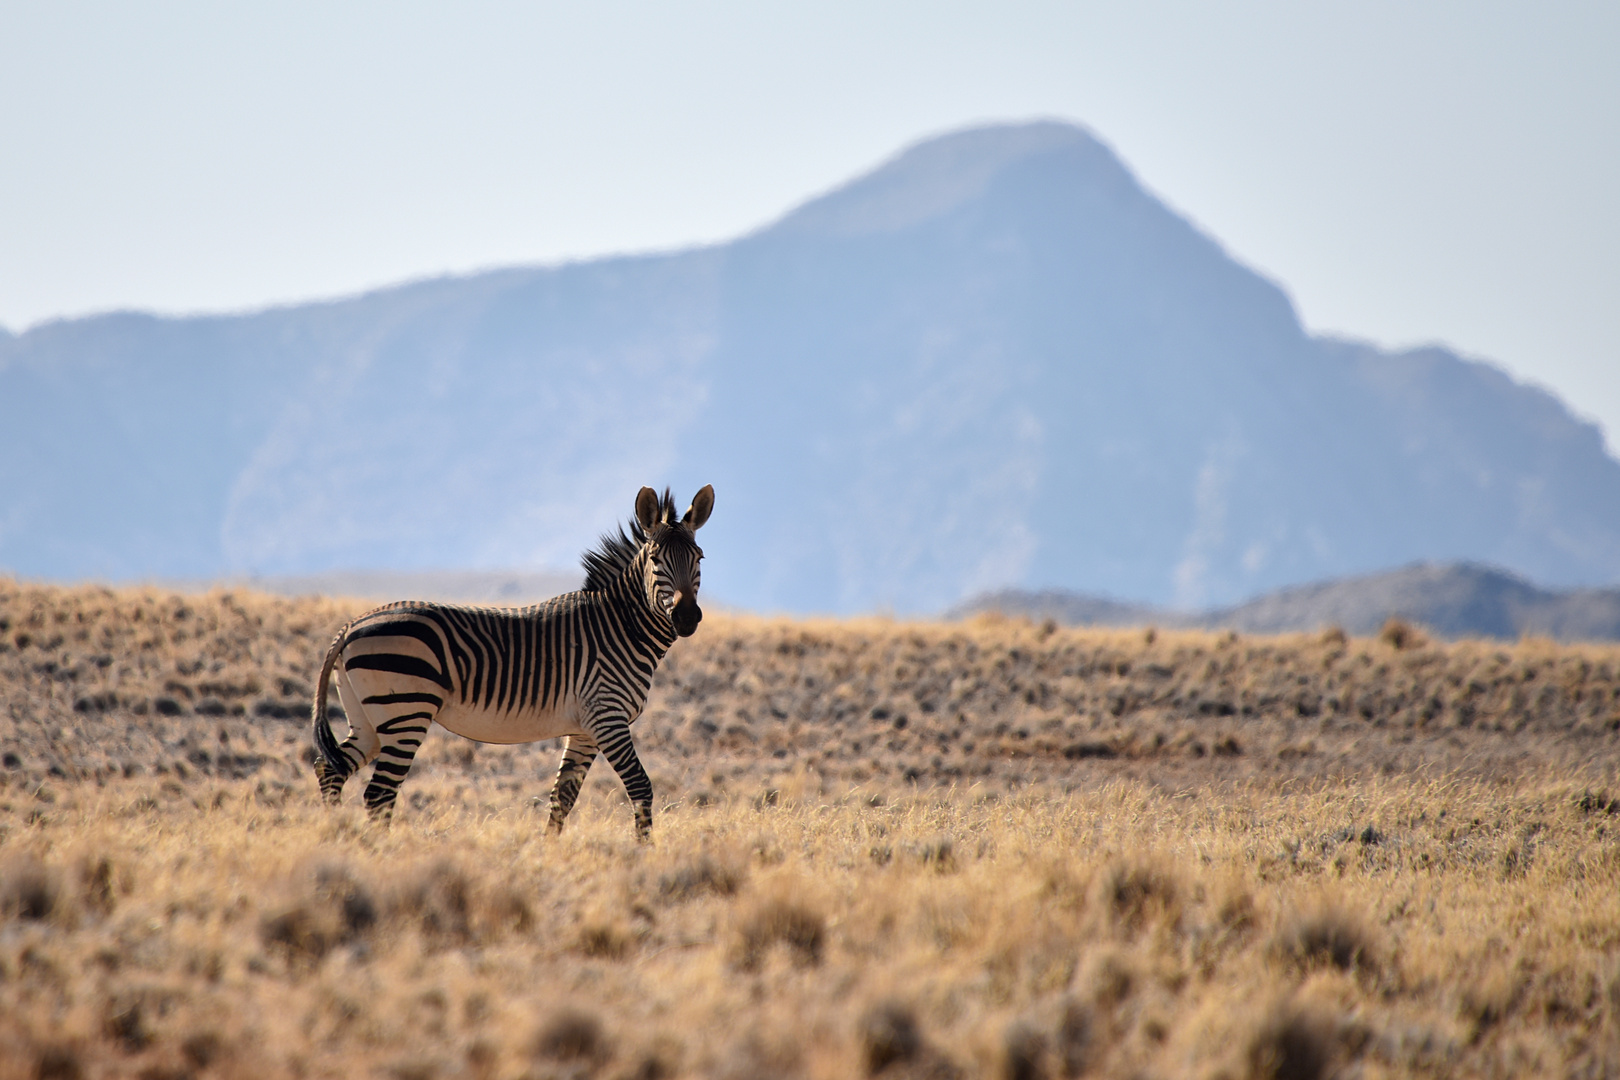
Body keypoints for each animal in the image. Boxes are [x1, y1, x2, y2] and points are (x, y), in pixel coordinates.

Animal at [311, 485, 716, 841]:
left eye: (699, 558)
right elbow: (640, 787)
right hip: (405, 713)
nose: (686, 618)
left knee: (331, 770)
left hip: (368, 717)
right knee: (378, 794)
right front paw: (644, 854)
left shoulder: (585, 729)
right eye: (655, 560)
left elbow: (562, 797)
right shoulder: (607, 718)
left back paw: (335, 839)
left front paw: (548, 855)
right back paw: (378, 852)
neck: (619, 626)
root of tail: (351, 625)